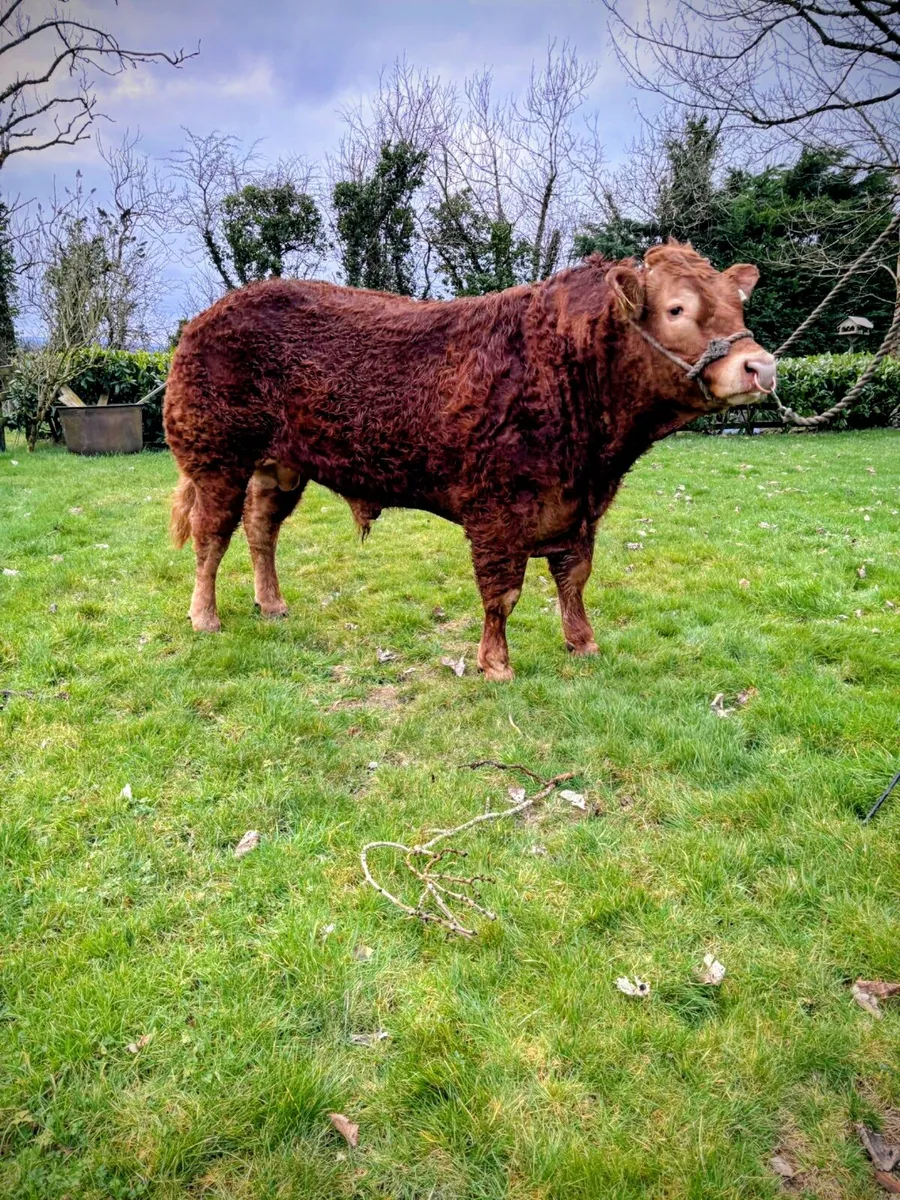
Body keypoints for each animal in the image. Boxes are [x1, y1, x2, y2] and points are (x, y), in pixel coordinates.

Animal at [164, 243, 776, 681]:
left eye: (738, 305)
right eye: (677, 308)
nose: (760, 366)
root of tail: (207, 317)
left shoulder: (577, 505)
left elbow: (573, 578)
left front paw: (583, 644)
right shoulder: (496, 507)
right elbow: (502, 591)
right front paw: (496, 665)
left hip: (279, 466)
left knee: (260, 528)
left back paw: (271, 604)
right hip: (216, 457)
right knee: (211, 536)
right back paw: (204, 617)